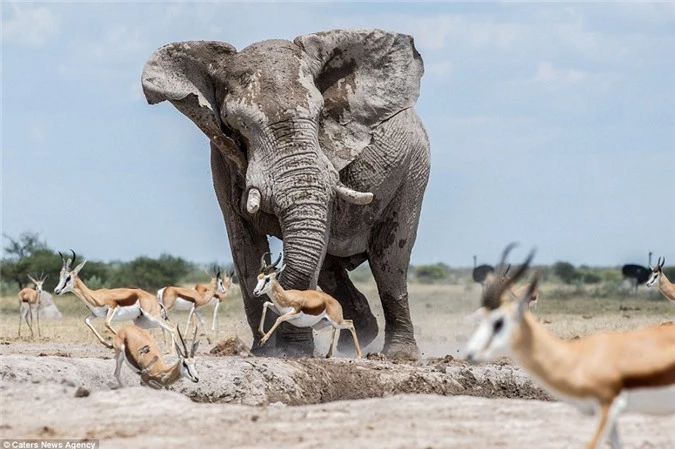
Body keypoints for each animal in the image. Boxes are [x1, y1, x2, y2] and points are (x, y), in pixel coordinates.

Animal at [141, 28, 434, 356]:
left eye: (320, 115)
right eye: (237, 124)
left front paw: (293, 352)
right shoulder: (222, 157)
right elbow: (244, 246)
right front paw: (265, 351)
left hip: (414, 169)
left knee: (389, 261)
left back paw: (398, 354)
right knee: (332, 268)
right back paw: (354, 336)